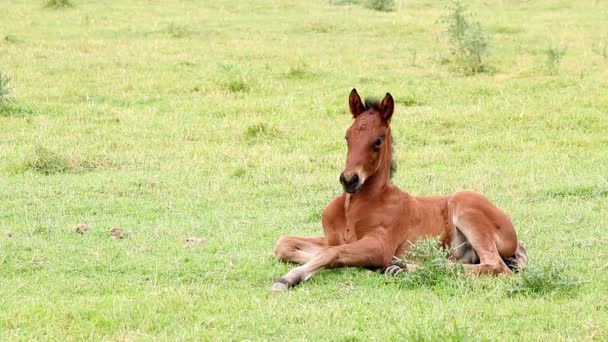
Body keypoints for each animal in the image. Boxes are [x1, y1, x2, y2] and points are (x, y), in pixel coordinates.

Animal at [272, 89, 528, 292]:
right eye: (347, 136)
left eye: (378, 141)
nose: (349, 180)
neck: (354, 207)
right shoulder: (330, 239)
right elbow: (285, 244)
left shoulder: (379, 245)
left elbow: (330, 254)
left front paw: (287, 279)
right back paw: (396, 268)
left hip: (466, 205)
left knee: (495, 266)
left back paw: (401, 266)